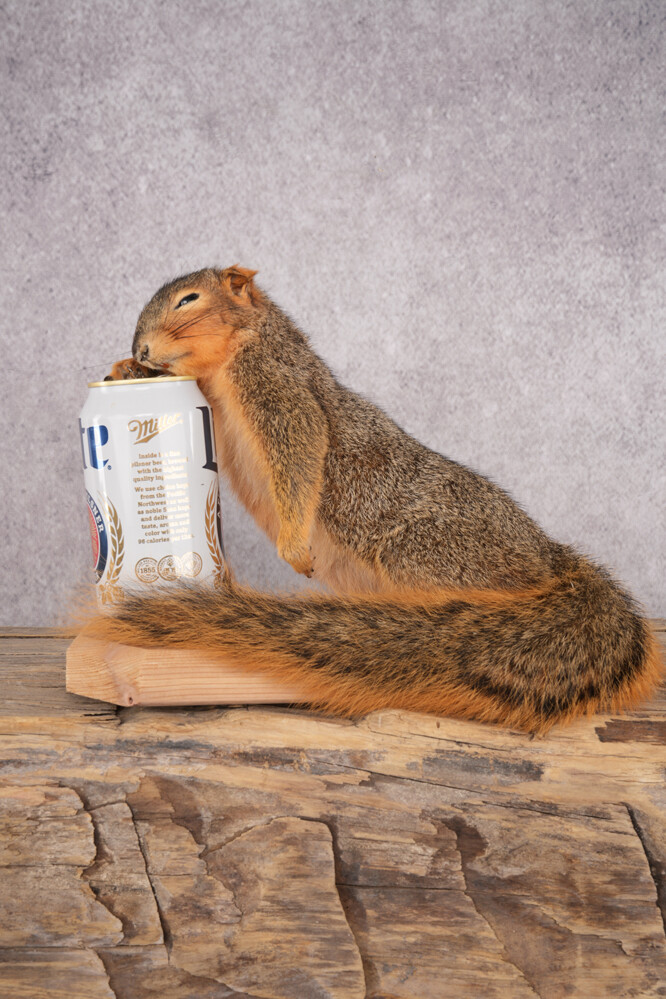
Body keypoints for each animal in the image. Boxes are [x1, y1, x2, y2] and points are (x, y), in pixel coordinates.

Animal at [92, 264, 662, 733]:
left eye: (188, 300)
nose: (142, 350)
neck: (241, 348)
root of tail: (548, 560)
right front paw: (122, 371)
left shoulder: (280, 389)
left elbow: (301, 453)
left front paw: (294, 547)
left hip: (426, 552)